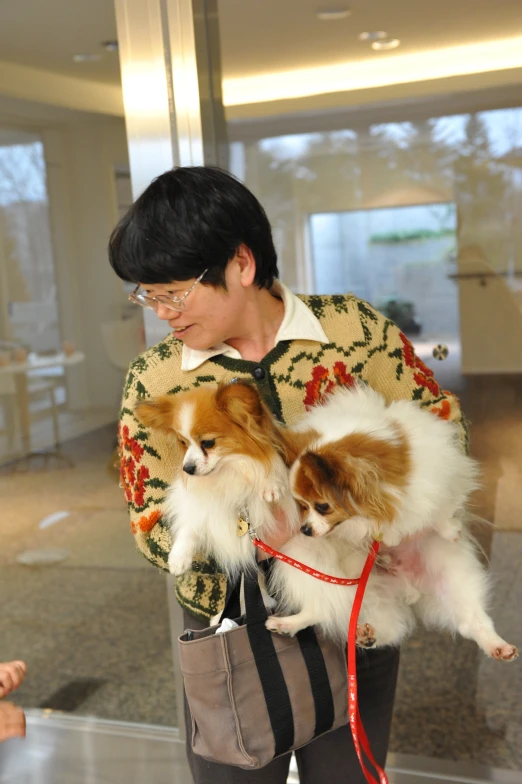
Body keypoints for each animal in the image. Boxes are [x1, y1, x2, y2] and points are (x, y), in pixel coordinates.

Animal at [264, 384, 516, 660]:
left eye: (322, 507)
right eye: (300, 506)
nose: (305, 529)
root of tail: (409, 591)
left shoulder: (443, 477)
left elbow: (439, 507)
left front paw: (448, 530)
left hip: (453, 581)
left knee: (472, 621)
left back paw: (498, 646)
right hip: (307, 562)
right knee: (325, 608)